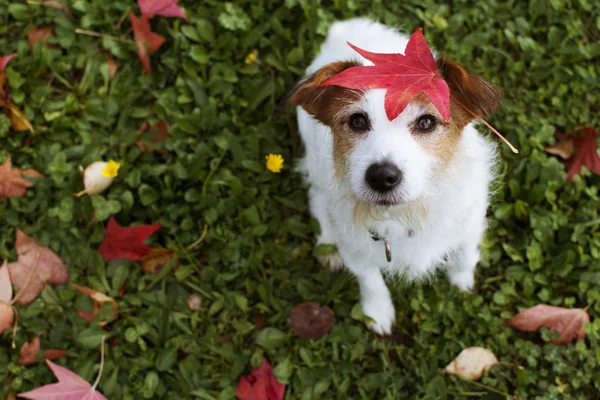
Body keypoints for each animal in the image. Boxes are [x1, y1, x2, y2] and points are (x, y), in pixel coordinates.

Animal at [288, 18, 504, 334]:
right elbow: (370, 280)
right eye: (357, 121)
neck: (408, 213)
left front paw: (462, 282)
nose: (381, 176)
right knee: (316, 198)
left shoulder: (470, 222)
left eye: (426, 122)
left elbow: (465, 255)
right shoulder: (355, 248)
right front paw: (377, 311)